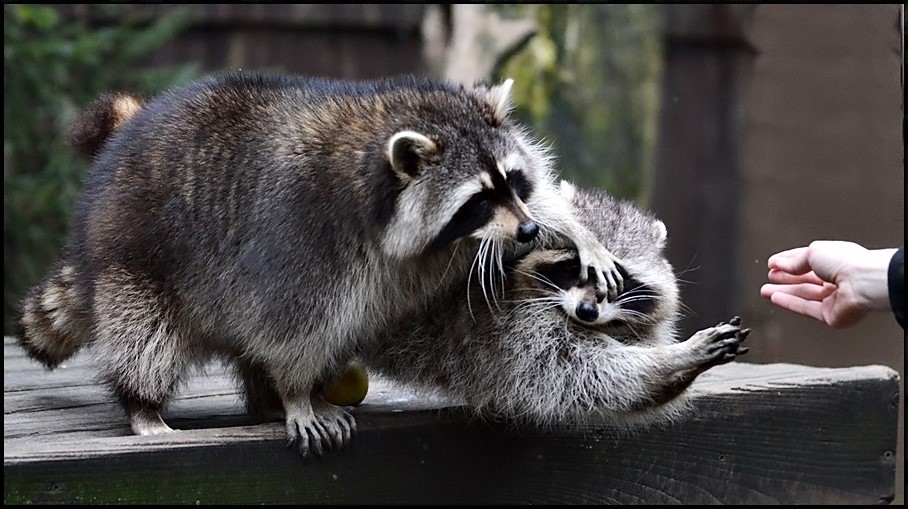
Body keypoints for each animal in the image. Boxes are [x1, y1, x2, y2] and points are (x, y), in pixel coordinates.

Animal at [15, 71, 624, 456]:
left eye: (513, 184)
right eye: (477, 200)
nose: (527, 230)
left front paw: (572, 228)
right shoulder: (301, 233)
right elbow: (291, 322)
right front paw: (295, 395)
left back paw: (259, 399)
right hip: (134, 254)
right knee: (145, 335)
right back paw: (144, 403)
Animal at [358, 184, 748, 428]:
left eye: (619, 280)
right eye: (576, 268)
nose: (587, 311)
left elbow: (619, 392)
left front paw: (676, 370)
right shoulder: (514, 329)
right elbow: (589, 376)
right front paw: (670, 359)